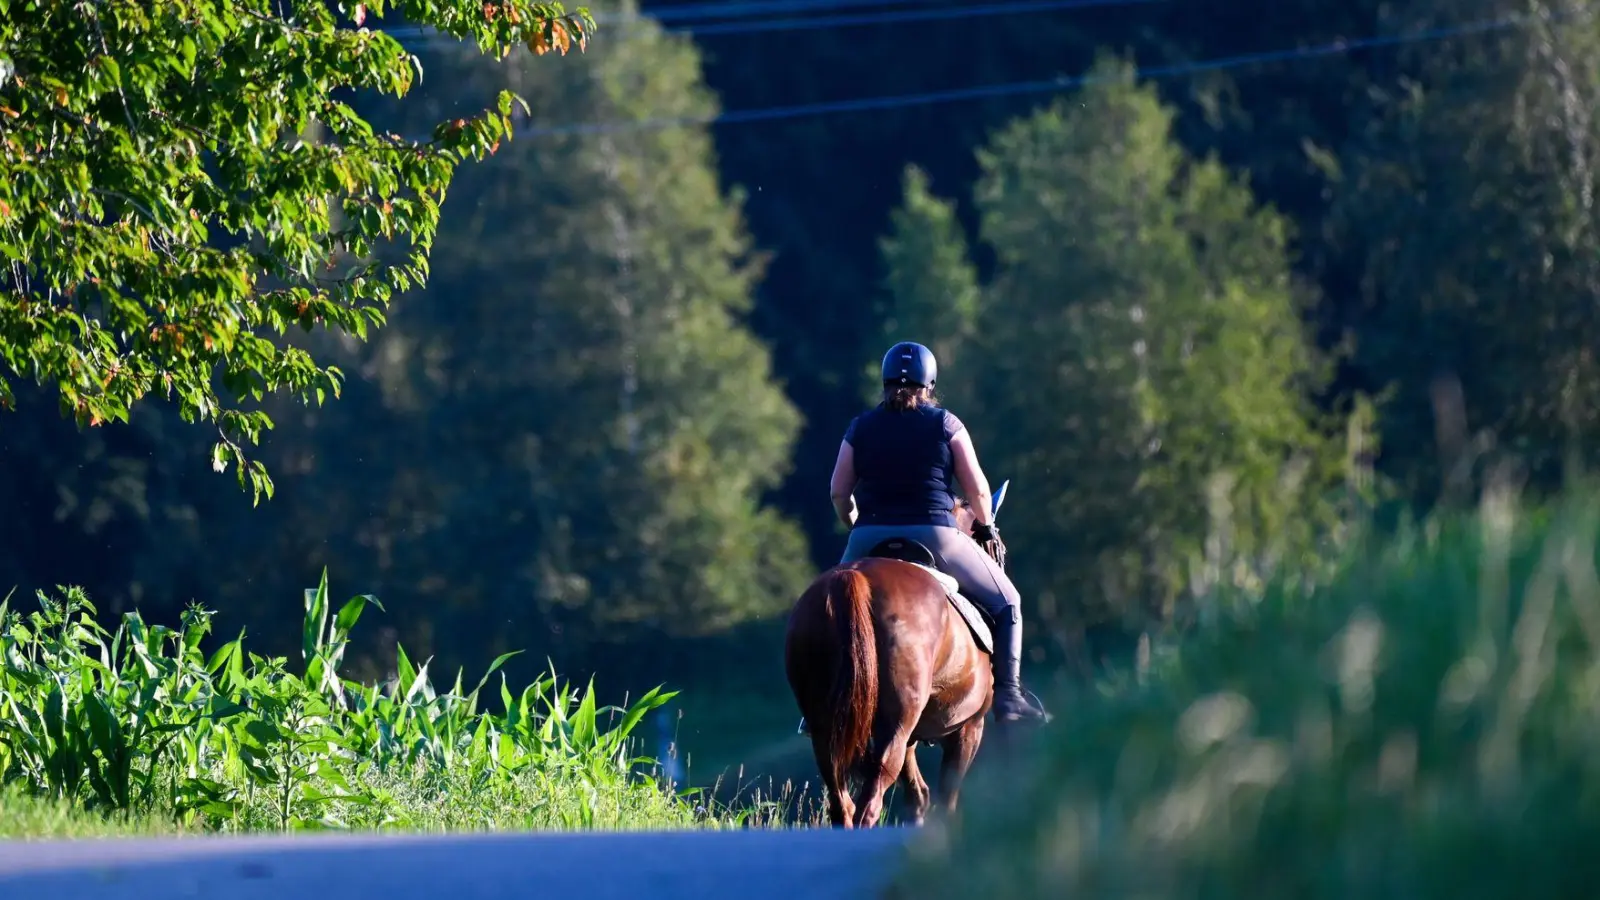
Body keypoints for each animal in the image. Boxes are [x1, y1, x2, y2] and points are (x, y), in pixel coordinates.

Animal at [783, 497, 998, 829]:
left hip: (826, 728)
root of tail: (854, 578)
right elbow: (945, 800)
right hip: (897, 725)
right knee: (868, 805)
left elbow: (917, 796)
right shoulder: (968, 728)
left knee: (842, 804)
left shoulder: (913, 735)